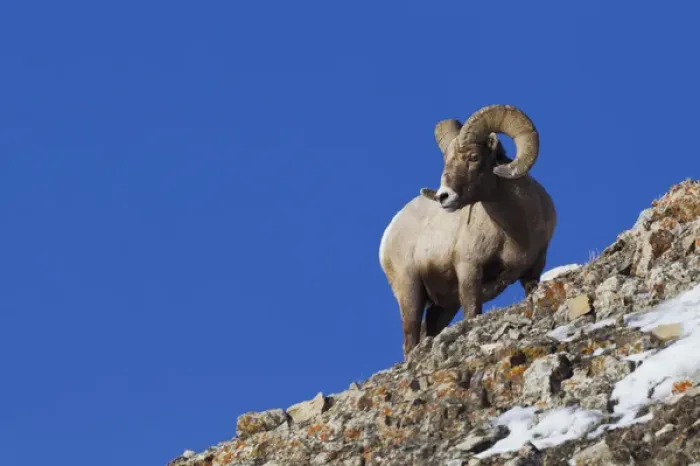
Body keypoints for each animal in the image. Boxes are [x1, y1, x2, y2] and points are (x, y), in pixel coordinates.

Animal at [379, 104, 557, 359]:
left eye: (474, 157)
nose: (444, 197)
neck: (515, 233)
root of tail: (389, 232)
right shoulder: (469, 270)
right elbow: (472, 311)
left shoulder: (532, 272)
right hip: (410, 291)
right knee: (410, 337)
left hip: (443, 306)